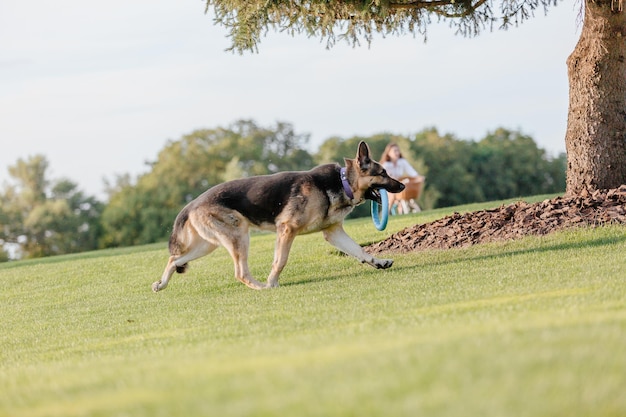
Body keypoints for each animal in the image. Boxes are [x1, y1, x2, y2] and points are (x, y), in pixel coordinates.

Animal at [152, 140, 404, 290]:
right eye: (383, 173)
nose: (402, 186)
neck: (342, 182)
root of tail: (192, 203)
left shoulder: (333, 233)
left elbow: (359, 251)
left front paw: (379, 262)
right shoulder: (287, 229)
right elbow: (280, 261)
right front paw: (272, 282)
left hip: (209, 244)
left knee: (175, 259)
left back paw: (161, 284)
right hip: (238, 237)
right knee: (240, 273)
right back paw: (261, 287)